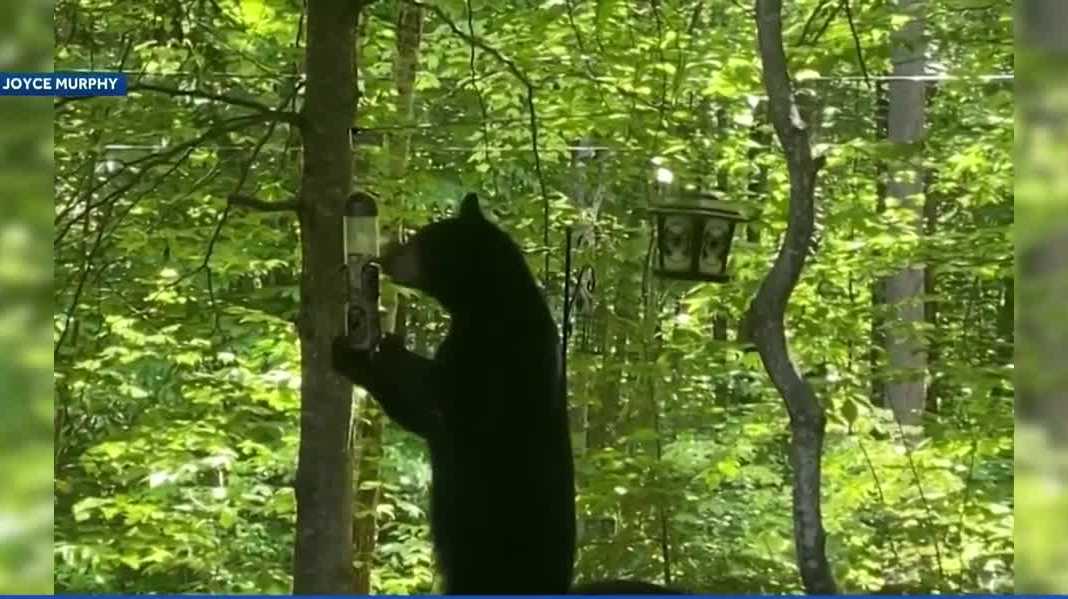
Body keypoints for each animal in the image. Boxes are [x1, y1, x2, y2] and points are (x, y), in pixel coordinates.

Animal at [332, 192, 576, 595]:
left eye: (420, 241)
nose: (385, 254)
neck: (488, 305)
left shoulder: (496, 362)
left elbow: (443, 403)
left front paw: (368, 353)